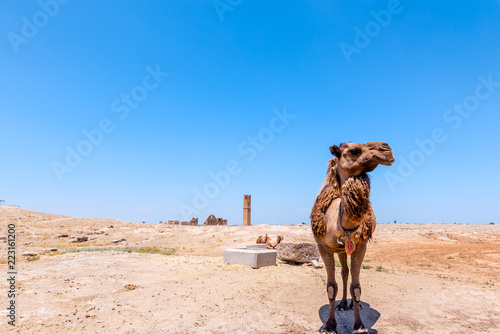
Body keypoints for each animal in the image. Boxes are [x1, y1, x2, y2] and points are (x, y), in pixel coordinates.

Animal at [308, 142, 394, 334]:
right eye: (355, 150)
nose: (387, 149)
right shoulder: (323, 247)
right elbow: (331, 287)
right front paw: (330, 326)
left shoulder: (361, 245)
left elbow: (356, 288)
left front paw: (359, 326)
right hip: (339, 249)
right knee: (344, 272)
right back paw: (342, 304)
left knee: (346, 273)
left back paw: (352, 305)